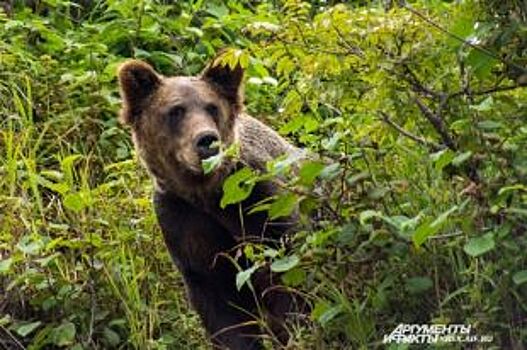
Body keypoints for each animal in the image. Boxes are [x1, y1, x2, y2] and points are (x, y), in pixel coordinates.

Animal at [118, 54, 304, 350]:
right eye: (176, 111)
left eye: (212, 107)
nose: (207, 140)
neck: (209, 193)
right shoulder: (185, 221)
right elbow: (221, 304)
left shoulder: (260, 202)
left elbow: (286, 273)